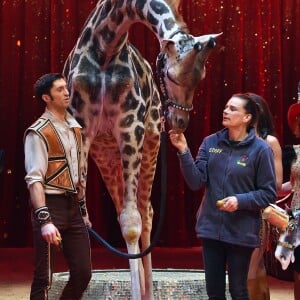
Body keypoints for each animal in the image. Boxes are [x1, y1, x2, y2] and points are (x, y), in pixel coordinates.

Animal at [63, 1, 220, 298]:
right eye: (171, 74)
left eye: (203, 76)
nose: (179, 122)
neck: (106, 47)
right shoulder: (83, 131)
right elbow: (86, 216)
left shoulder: (131, 128)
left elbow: (133, 222)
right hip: (106, 153)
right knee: (126, 211)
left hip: (150, 142)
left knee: (146, 214)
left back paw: (148, 289)